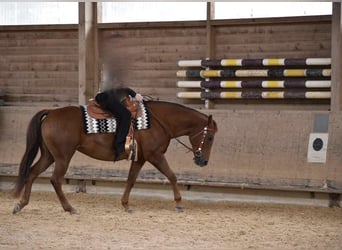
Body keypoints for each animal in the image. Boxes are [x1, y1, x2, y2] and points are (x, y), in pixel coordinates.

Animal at [12, 100, 218, 214]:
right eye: (209, 137)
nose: (203, 161)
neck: (157, 121)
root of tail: (51, 112)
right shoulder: (155, 156)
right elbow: (172, 176)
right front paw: (179, 203)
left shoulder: (140, 158)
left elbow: (131, 180)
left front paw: (126, 205)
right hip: (63, 156)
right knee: (55, 180)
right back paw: (69, 208)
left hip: (49, 155)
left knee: (32, 173)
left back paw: (21, 204)